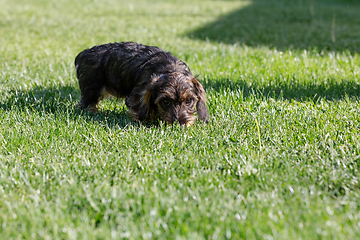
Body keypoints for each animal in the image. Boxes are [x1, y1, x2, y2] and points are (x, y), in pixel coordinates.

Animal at [75, 41, 210, 126]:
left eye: (189, 100)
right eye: (166, 101)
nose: (180, 124)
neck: (170, 68)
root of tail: (84, 53)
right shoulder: (136, 96)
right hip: (92, 90)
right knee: (85, 104)